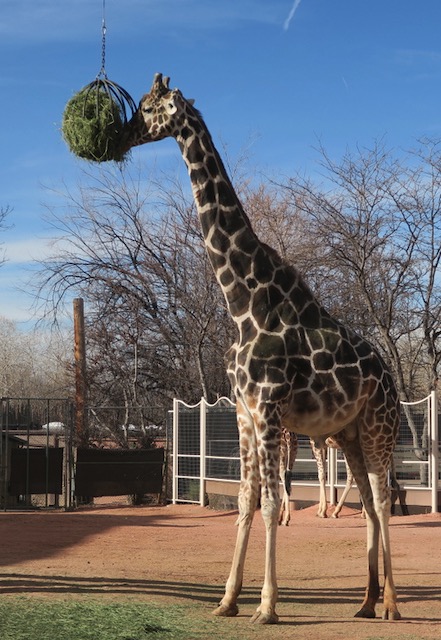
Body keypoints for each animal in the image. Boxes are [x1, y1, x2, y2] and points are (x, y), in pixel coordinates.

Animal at [122, 74, 400, 624]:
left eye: (146, 107)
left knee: (381, 500)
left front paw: (266, 607)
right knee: (368, 499)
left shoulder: (269, 408)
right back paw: (364, 601)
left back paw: (392, 606)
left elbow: (271, 502)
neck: (244, 303)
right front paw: (227, 601)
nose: (122, 135)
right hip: (350, 435)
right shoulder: (246, 412)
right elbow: (246, 501)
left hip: (378, 429)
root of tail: (392, 382)